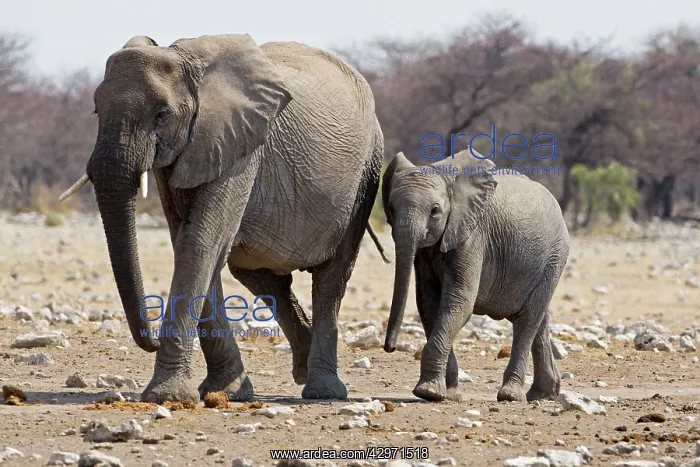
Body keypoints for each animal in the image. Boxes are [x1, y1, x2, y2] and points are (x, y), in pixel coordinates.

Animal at [59, 33, 389, 403]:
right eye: (96, 110)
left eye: (161, 115)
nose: (152, 338)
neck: (186, 60)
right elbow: (191, 243)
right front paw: (227, 391)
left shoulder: (240, 147)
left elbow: (200, 243)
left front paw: (167, 397)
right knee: (260, 275)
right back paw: (303, 368)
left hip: (365, 174)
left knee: (332, 277)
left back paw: (322, 390)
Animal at [380, 150, 570, 403]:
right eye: (391, 208)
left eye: (435, 211)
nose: (389, 348)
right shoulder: (426, 252)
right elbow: (429, 304)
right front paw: (448, 395)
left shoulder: (473, 234)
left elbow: (459, 302)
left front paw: (427, 392)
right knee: (540, 318)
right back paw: (542, 395)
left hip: (554, 256)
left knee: (527, 319)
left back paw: (510, 395)